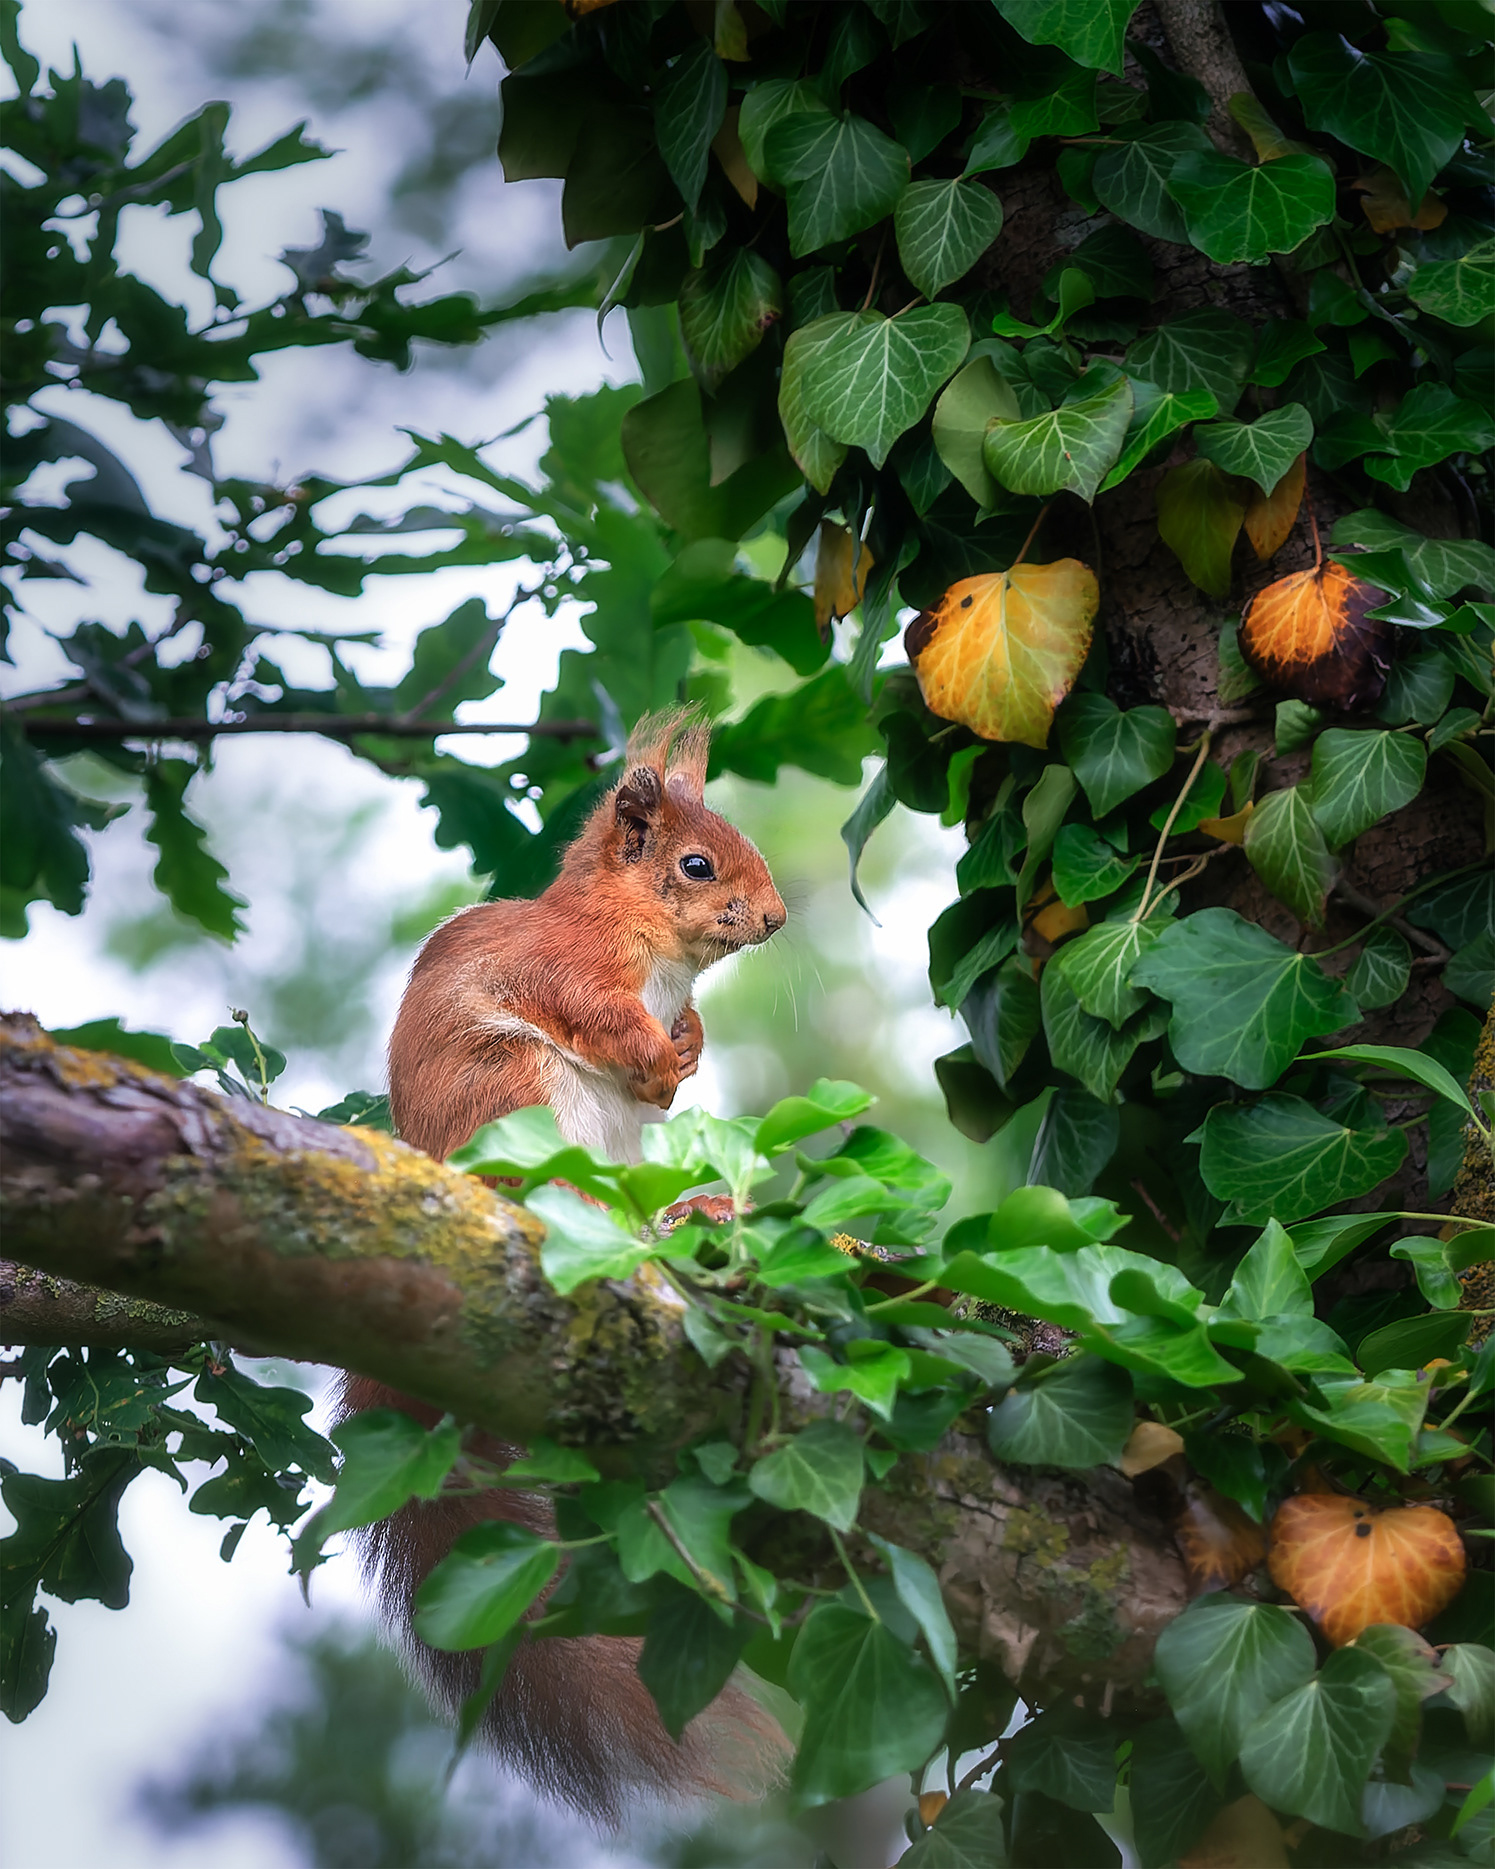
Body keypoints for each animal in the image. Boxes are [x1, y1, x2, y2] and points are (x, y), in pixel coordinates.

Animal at [336, 712, 789, 1819]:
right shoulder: (563, 967)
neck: (655, 952)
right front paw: (660, 1049)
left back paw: (693, 1207)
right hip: (518, 1102)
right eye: (696, 864)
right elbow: (597, 1012)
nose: (773, 916)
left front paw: (689, 1045)